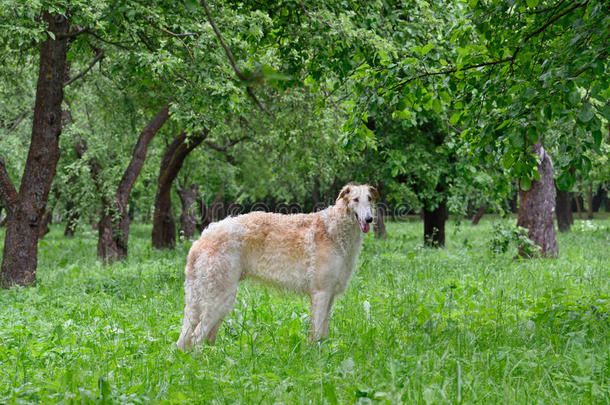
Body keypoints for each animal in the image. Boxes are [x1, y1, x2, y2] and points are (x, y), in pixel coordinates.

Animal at [175, 183, 376, 348]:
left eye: (370, 199)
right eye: (355, 200)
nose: (369, 219)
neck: (334, 229)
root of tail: (200, 240)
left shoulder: (330, 294)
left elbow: (323, 333)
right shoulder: (321, 292)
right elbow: (317, 334)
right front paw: (316, 358)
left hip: (205, 299)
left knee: (190, 338)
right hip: (220, 297)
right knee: (197, 337)